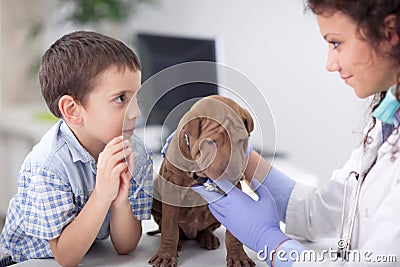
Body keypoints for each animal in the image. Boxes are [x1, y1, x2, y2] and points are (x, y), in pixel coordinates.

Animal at [148, 95, 255, 266]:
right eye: (211, 143)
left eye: (241, 141)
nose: (232, 171)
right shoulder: (172, 185)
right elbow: (170, 226)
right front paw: (166, 255)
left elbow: (233, 232)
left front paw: (239, 257)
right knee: (168, 226)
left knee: (205, 229)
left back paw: (207, 237)